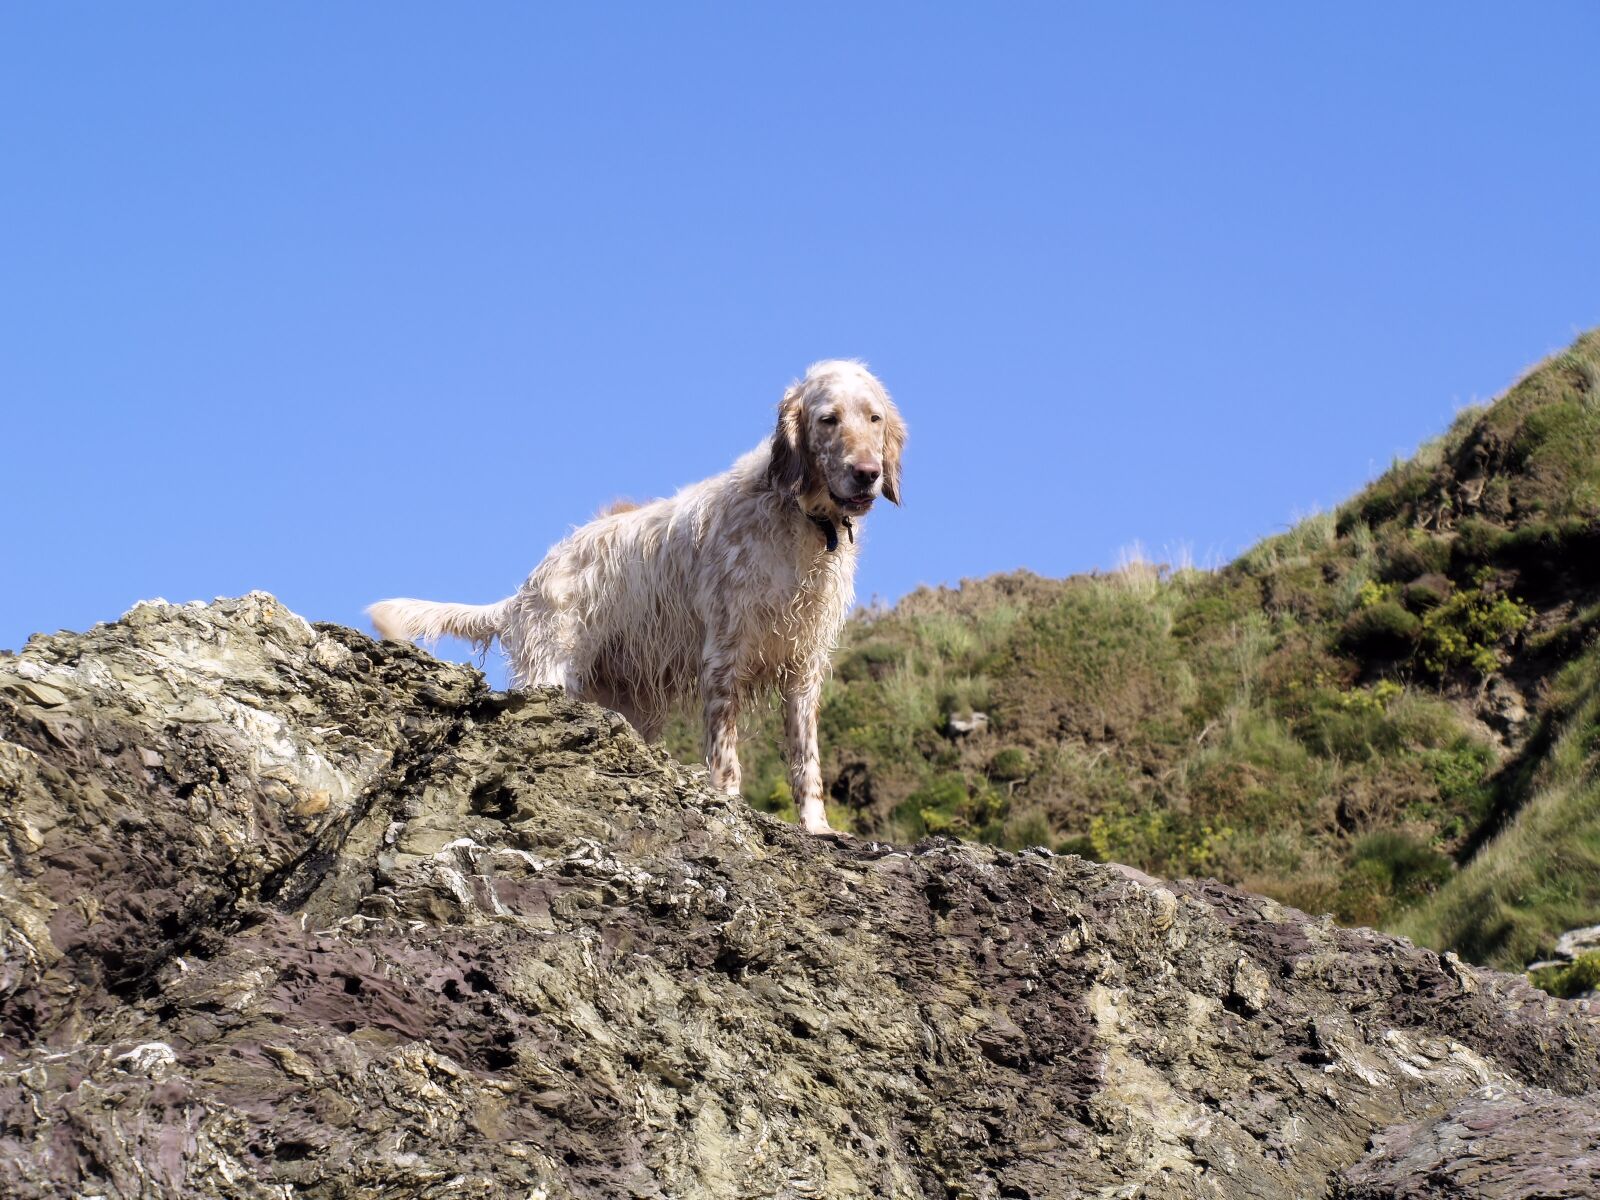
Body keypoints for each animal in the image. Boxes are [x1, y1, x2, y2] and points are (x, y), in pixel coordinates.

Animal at [366, 361, 908, 838]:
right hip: (553, 674)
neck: (798, 516)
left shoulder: (804, 665)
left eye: (873, 418)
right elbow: (726, 759)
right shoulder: (723, 657)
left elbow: (805, 760)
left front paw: (817, 828)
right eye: (828, 418)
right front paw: (730, 808)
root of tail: (528, 587)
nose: (867, 472)